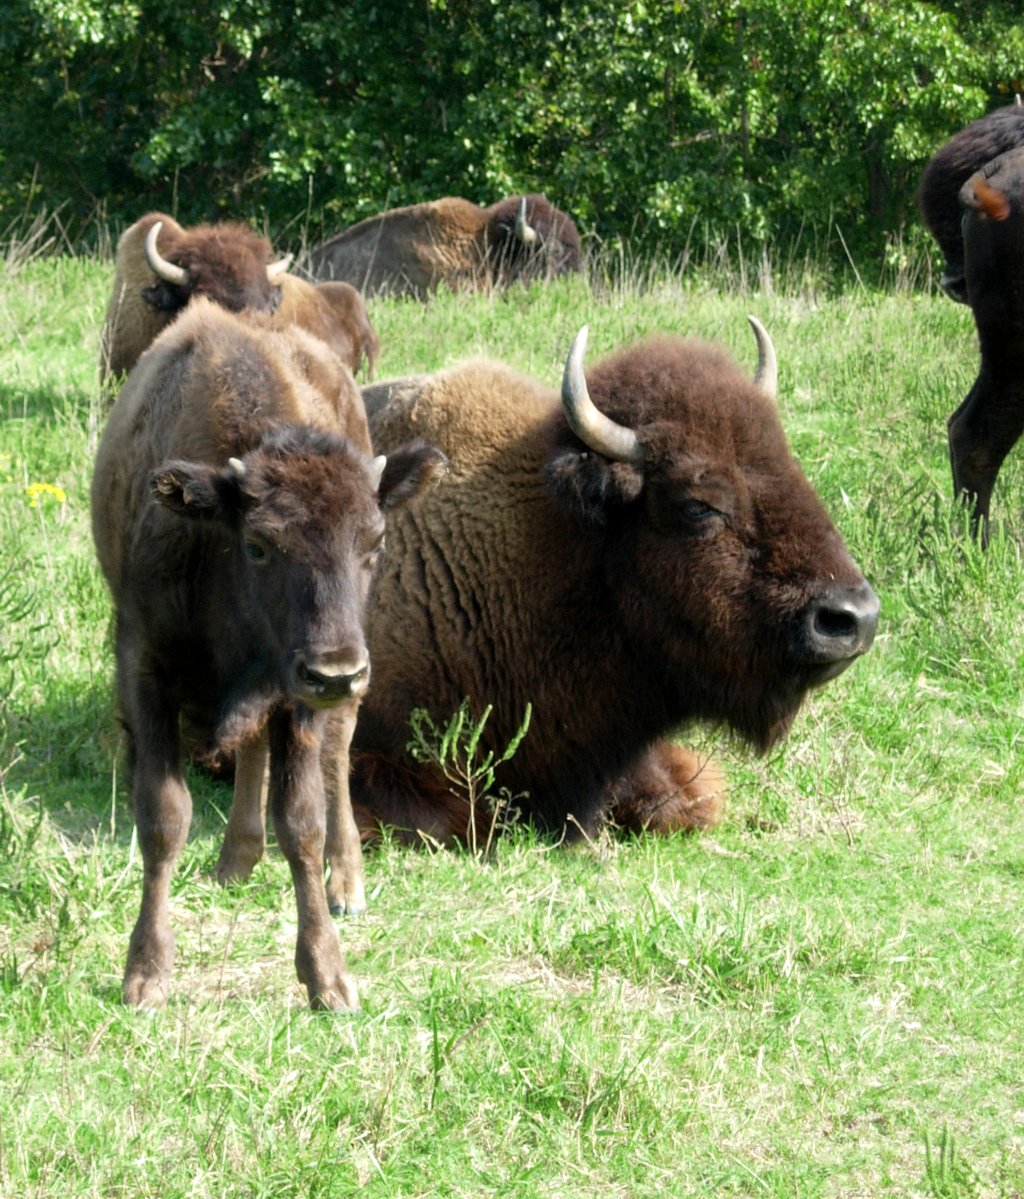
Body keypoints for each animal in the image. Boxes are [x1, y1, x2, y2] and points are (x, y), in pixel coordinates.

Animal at [95, 294, 446, 1007]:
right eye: (259, 545)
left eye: (375, 542)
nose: (336, 671)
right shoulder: (144, 670)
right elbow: (163, 816)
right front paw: (145, 972)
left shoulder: (299, 698)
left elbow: (302, 822)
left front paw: (328, 978)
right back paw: (235, 860)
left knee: (336, 756)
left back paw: (347, 881)